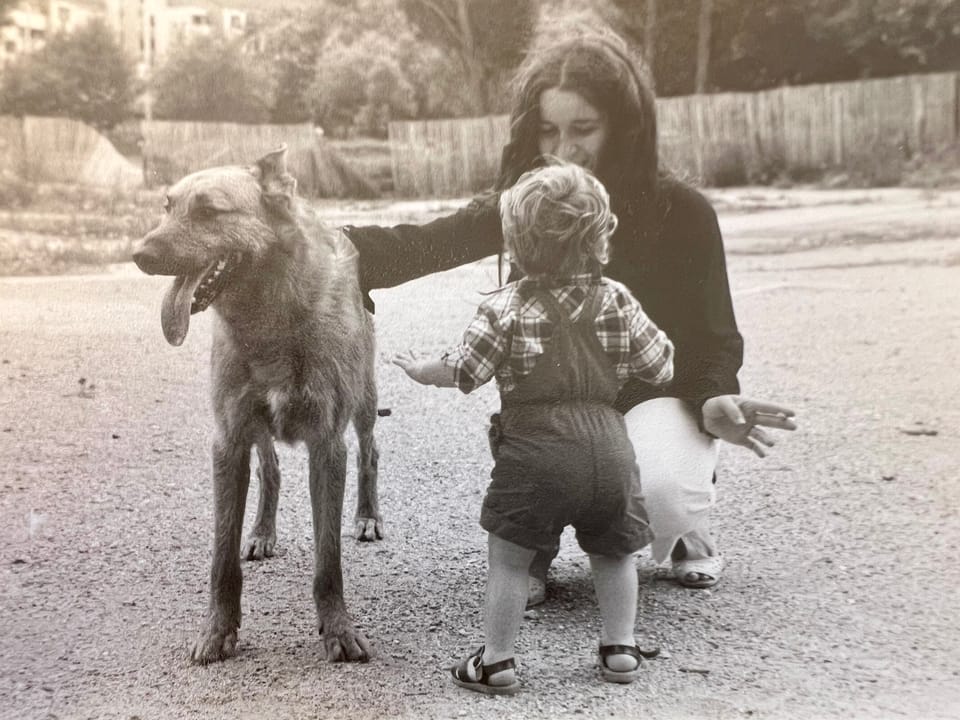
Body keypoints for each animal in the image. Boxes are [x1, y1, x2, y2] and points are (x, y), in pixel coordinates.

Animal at [132, 145, 386, 664]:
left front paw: (337, 628)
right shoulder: (228, 442)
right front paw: (217, 630)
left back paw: (367, 515)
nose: (139, 255)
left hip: (365, 404)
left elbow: (328, 560)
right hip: (256, 429)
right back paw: (263, 531)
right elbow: (221, 559)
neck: (270, 322)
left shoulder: (328, 445)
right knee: (271, 470)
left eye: (209, 211)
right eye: (167, 206)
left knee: (370, 450)